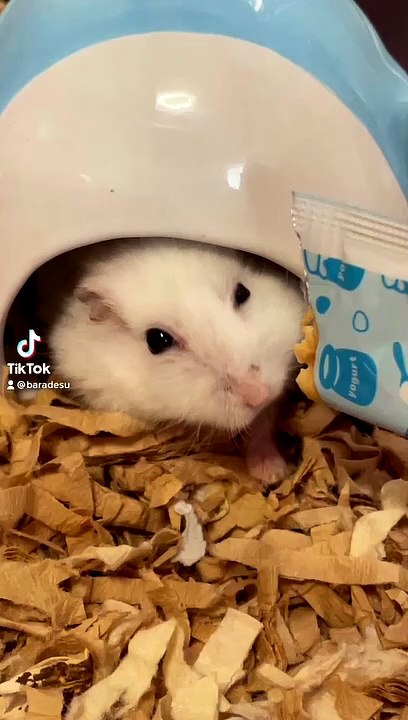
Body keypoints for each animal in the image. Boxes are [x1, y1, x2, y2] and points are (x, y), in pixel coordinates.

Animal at [42, 238, 305, 485]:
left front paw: (273, 473)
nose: (259, 395)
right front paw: (272, 472)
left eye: (242, 293)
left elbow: (263, 422)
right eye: (157, 340)